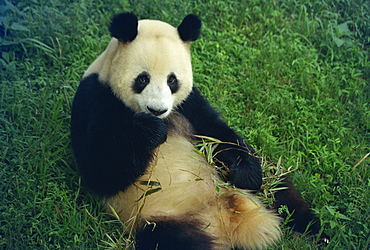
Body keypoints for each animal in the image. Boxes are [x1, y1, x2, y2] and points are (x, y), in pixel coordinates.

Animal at [70, 12, 324, 250]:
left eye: (172, 80)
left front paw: (240, 173)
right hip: (160, 219)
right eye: (142, 79)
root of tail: (228, 222)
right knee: (173, 240)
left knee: (281, 187)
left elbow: (219, 133)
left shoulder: (189, 104)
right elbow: (100, 170)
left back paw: (312, 232)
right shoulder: (94, 98)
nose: (157, 109)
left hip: (265, 187)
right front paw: (150, 130)